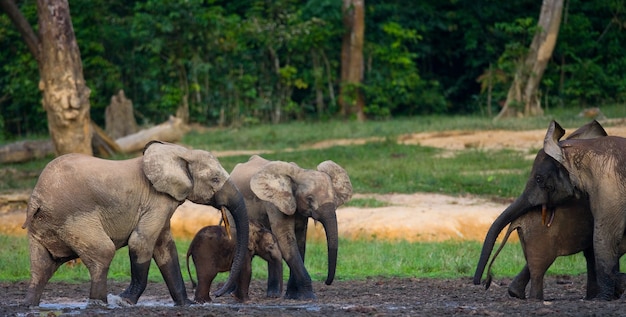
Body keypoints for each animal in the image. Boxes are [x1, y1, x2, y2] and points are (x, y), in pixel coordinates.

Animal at [20, 141, 249, 306]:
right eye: (215, 179)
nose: (218, 295)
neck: (180, 152)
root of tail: (36, 197)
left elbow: (165, 248)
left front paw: (186, 305)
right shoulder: (156, 202)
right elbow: (141, 243)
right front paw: (125, 301)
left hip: (45, 224)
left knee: (42, 266)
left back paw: (30, 305)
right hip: (73, 219)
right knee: (103, 252)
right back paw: (100, 304)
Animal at [222, 155, 352, 298]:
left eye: (334, 197)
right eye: (309, 198)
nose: (327, 282)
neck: (300, 174)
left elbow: (300, 242)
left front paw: (293, 296)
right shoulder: (274, 203)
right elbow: (286, 239)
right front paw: (309, 296)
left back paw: (272, 294)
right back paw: (230, 293)